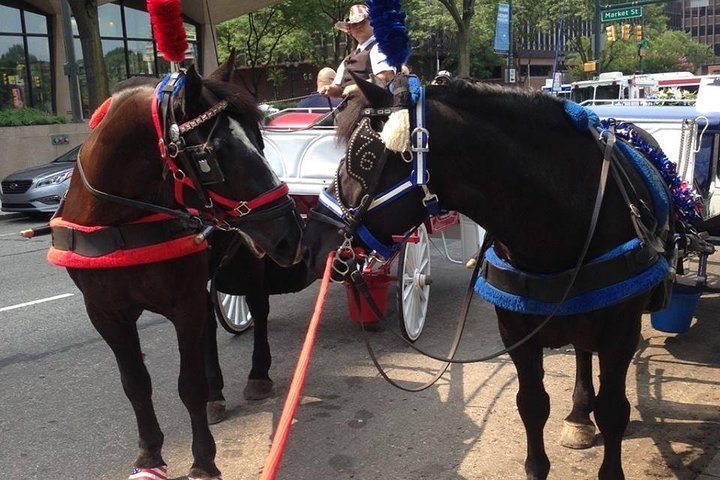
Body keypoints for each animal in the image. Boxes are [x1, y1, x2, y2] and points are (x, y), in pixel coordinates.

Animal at [50, 56, 304, 480]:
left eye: (260, 139)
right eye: (213, 154)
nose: (291, 233)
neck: (120, 224)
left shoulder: (182, 304)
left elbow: (189, 385)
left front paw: (203, 460)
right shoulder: (105, 313)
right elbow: (136, 384)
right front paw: (150, 455)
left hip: (250, 257)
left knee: (260, 309)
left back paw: (258, 374)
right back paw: (217, 394)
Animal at [301, 75, 676, 480]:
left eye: (364, 160)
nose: (313, 241)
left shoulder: (619, 335)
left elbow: (612, 412)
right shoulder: (515, 333)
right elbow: (532, 405)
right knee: (580, 352)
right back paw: (578, 416)